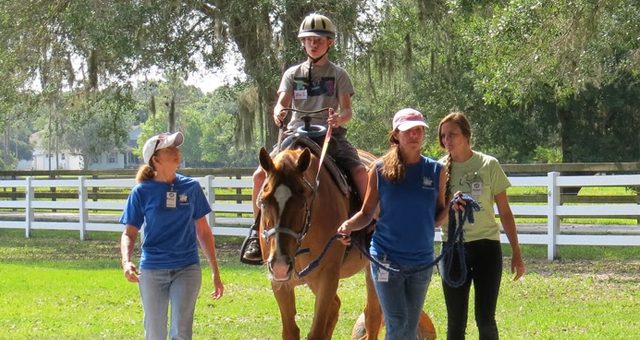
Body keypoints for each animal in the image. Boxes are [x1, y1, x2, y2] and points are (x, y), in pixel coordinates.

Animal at [258, 147, 438, 340]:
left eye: (302, 201)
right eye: (263, 201)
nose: (280, 264)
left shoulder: (327, 277)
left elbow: (317, 332)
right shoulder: (280, 285)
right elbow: (291, 331)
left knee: (372, 316)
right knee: (336, 307)